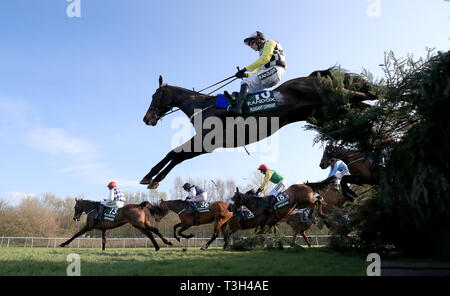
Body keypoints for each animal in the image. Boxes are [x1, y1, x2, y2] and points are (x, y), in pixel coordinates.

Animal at [140, 67, 372, 188]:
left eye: (154, 95)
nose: (146, 118)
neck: (204, 107)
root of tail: (310, 76)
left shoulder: (206, 140)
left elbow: (174, 153)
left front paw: (152, 177)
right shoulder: (207, 145)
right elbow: (177, 155)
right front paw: (152, 178)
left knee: (363, 94)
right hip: (322, 110)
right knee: (360, 103)